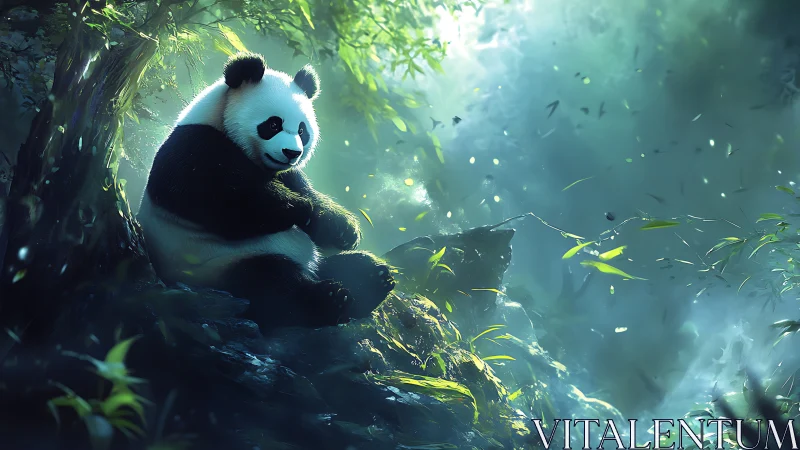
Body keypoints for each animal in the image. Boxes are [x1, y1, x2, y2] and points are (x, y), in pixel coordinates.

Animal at [137, 52, 395, 331]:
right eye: (273, 124)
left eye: (302, 130)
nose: (292, 153)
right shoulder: (194, 146)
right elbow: (222, 202)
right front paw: (298, 208)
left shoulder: (286, 173)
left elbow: (307, 191)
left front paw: (342, 228)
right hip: (215, 265)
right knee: (271, 283)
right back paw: (331, 298)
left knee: (347, 267)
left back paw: (374, 279)